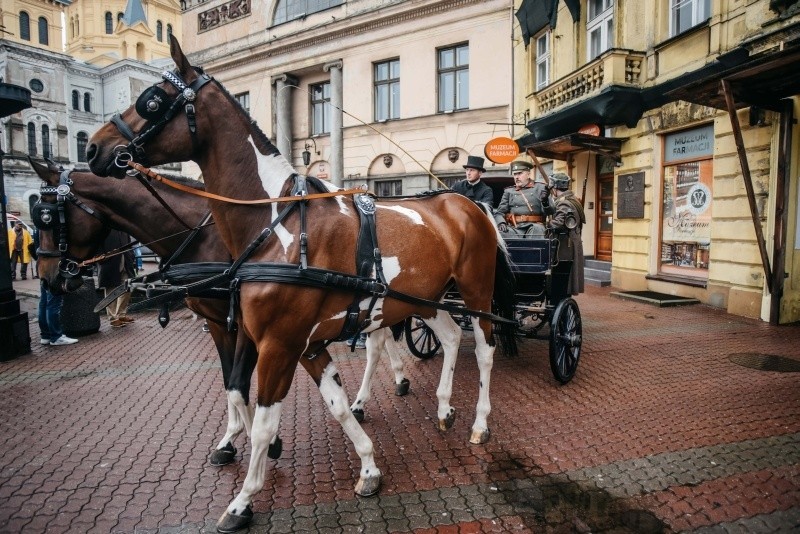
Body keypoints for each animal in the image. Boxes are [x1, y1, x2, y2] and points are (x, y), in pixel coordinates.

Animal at [86, 36, 512, 532]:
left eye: (151, 100)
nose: (94, 148)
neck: (275, 224)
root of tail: (467, 203)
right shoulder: (299, 343)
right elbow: (334, 403)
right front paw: (368, 466)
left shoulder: (277, 343)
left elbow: (265, 422)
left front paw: (244, 497)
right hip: (425, 298)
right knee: (447, 338)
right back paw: (444, 407)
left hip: (475, 292)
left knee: (483, 349)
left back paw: (480, 423)